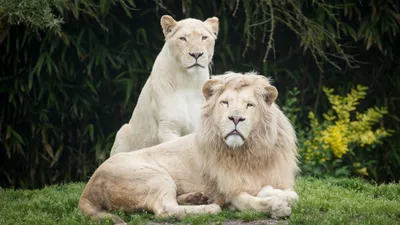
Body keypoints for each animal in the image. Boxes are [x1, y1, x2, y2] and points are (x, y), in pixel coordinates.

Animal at [79, 72, 298, 223]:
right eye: (225, 103)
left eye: (249, 105)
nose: (235, 118)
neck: (250, 151)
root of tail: (88, 188)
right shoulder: (230, 192)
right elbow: (251, 202)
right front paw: (277, 206)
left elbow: (289, 194)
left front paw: (278, 194)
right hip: (155, 176)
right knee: (166, 209)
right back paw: (209, 208)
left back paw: (197, 198)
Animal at [110, 14, 219, 156]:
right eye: (183, 38)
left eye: (204, 37)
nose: (196, 54)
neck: (188, 81)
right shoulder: (167, 128)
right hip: (123, 131)